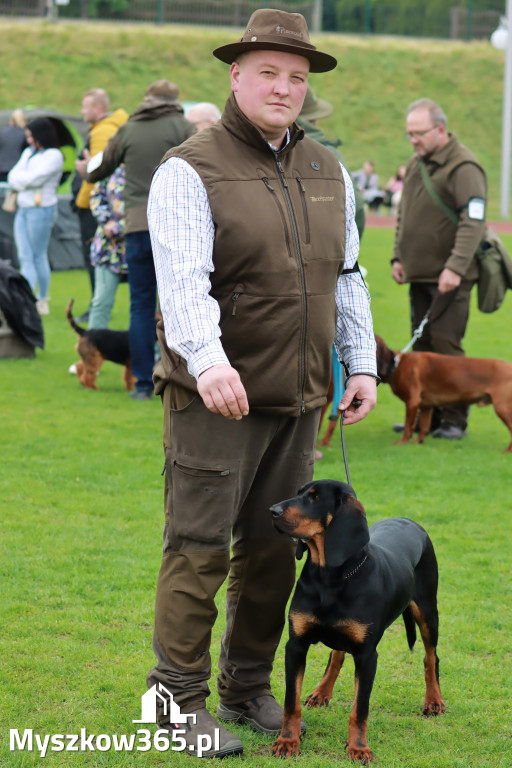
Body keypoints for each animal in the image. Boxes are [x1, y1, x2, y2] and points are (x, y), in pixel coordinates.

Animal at [272, 480, 444, 760]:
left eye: (315, 498)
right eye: (299, 493)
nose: (272, 511)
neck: (329, 578)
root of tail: (409, 520)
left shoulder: (367, 655)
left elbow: (360, 709)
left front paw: (359, 748)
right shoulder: (296, 645)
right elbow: (291, 702)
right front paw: (287, 741)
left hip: (428, 611)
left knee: (431, 657)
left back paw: (434, 701)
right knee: (337, 655)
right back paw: (321, 692)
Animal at [376, 334, 512, 452]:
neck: (396, 365)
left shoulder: (412, 402)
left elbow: (408, 427)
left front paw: (401, 442)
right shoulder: (426, 406)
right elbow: (424, 427)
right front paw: (418, 442)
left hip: (502, 408)